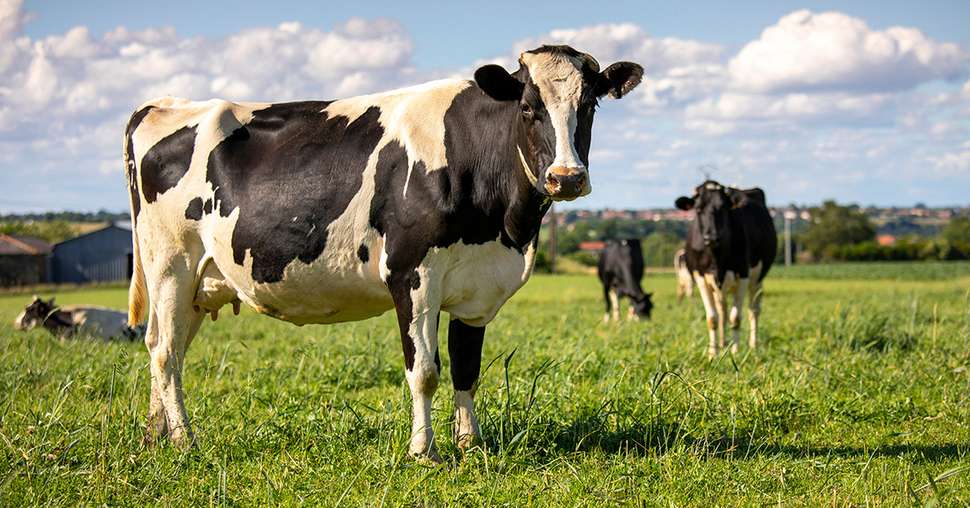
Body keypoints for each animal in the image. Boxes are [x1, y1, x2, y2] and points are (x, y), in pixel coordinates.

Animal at [125, 44, 644, 460]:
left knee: (164, 347)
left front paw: (470, 445)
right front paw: (424, 451)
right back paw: (185, 441)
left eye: (590, 104)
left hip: (199, 281)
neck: (504, 225)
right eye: (529, 107)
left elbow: (467, 369)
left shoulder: (477, 286)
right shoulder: (412, 273)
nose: (567, 178)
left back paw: (155, 437)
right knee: (166, 353)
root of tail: (163, 104)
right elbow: (425, 371)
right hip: (169, 264)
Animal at [668, 182, 776, 358]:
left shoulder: (743, 275)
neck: (716, 256)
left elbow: (736, 318)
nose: (711, 237)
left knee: (753, 310)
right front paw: (713, 353)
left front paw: (735, 351)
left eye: (723, 208)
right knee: (722, 312)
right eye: (698, 209)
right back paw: (723, 343)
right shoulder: (700, 278)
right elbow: (712, 318)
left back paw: (752, 345)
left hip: (758, 279)